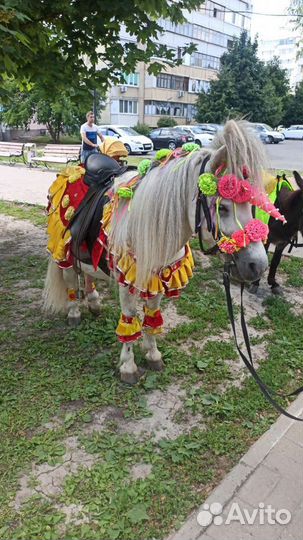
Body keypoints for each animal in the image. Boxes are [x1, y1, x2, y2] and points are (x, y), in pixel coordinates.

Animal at [42, 122, 270, 384]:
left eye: (252, 205)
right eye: (222, 207)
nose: (258, 265)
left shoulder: (161, 277)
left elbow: (151, 318)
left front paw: (153, 356)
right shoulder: (128, 281)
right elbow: (130, 320)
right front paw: (128, 367)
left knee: (88, 274)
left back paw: (94, 303)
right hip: (64, 253)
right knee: (71, 281)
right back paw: (74, 314)